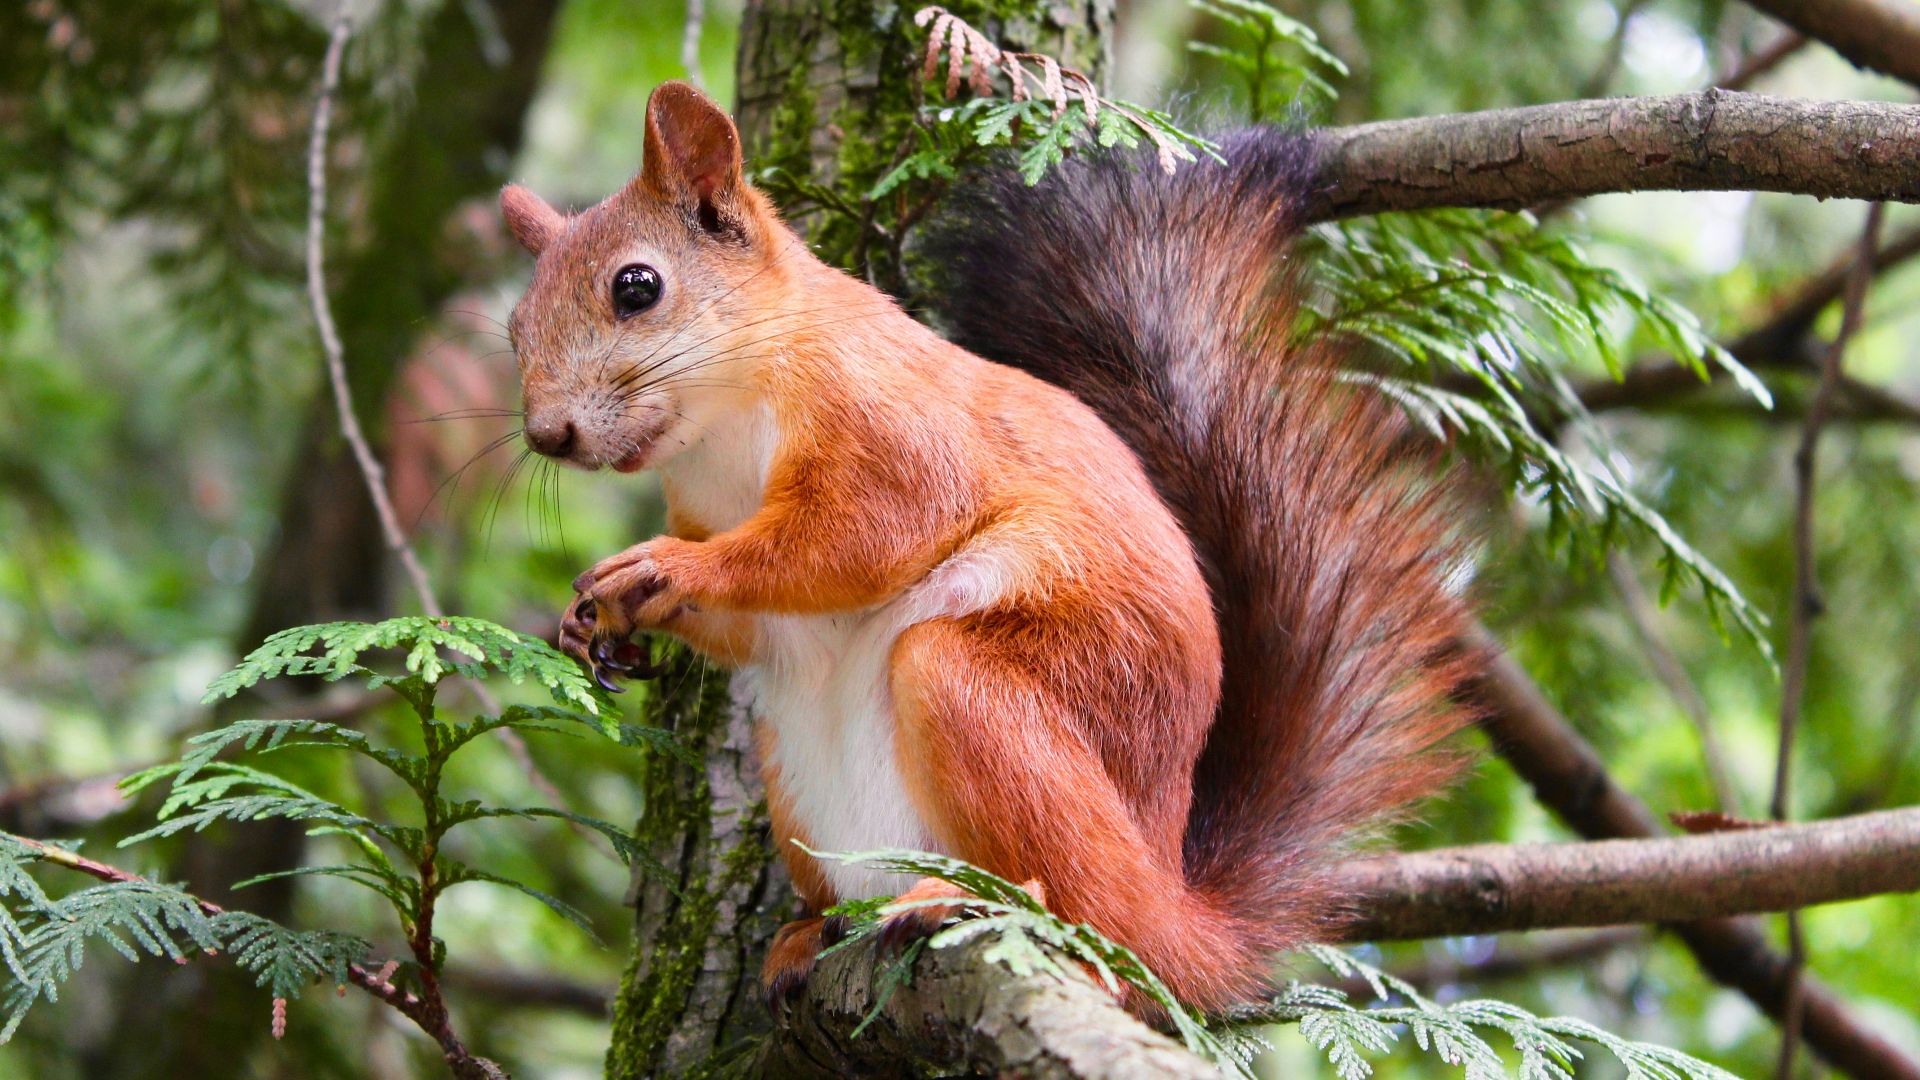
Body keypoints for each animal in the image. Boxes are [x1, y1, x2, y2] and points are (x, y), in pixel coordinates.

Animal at [499, 80, 1475, 1014]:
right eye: (513, 329)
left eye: (637, 287)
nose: (547, 436)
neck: (725, 426)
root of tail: (1176, 911)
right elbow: (754, 624)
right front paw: (596, 625)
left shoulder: (894, 428)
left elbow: (854, 539)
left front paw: (665, 569)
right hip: (796, 775)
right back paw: (810, 933)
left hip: (991, 693)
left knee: (1096, 924)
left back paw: (973, 902)